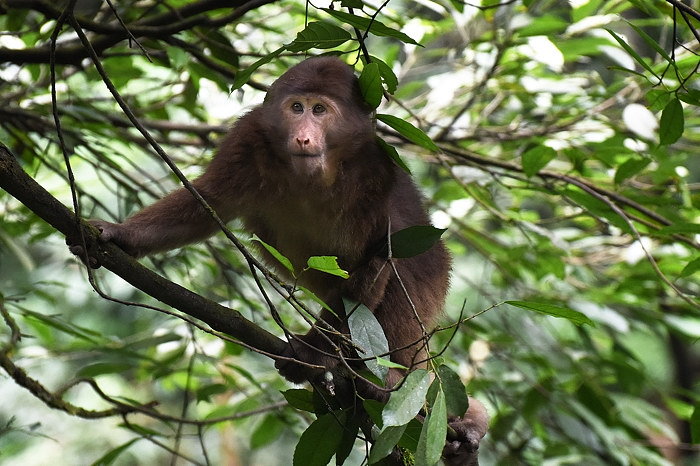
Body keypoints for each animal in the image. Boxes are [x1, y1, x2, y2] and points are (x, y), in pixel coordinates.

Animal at [69, 56, 486, 460]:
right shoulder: (248, 140)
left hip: (435, 273)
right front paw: (119, 234)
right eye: (297, 107)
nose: (303, 134)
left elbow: (379, 259)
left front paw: (311, 353)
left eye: (320, 110)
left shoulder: (376, 174)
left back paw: (390, 384)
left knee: (405, 276)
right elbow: (206, 202)